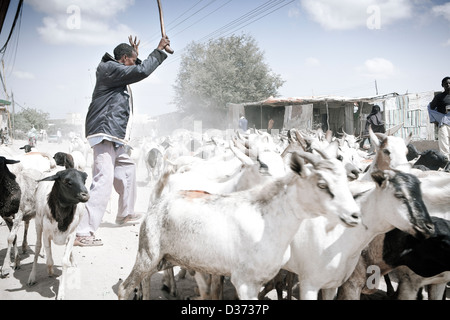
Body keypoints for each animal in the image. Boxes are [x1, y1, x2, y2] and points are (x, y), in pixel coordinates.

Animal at [27, 169, 89, 298]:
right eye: (67, 182)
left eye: (84, 180)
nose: (85, 195)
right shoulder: (46, 234)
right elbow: (49, 260)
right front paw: (50, 271)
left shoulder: (71, 234)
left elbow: (65, 261)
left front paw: (61, 293)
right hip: (38, 223)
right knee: (37, 247)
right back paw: (32, 277)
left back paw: (73, 262)